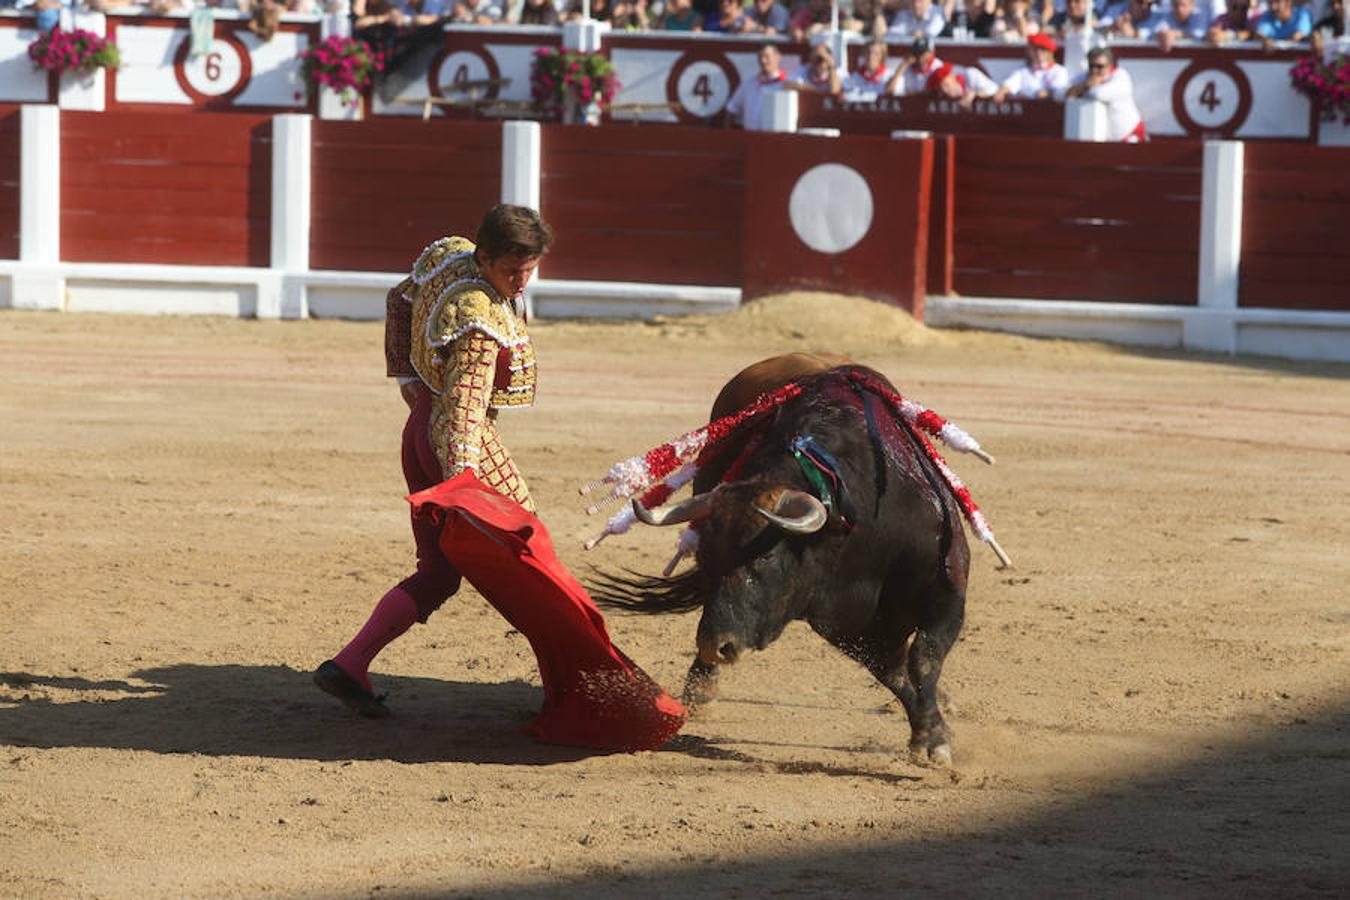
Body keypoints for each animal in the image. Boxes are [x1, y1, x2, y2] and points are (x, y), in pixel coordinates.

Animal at [585, 356, 999, 766]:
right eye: (706, 559)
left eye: (765, 556)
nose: (715, 645)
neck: (853, 525)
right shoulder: (844, 626)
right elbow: (896, 674)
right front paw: (929, 734)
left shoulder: (947, 589)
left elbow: (922, 659)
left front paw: (934, 740)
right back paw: (702, 687)